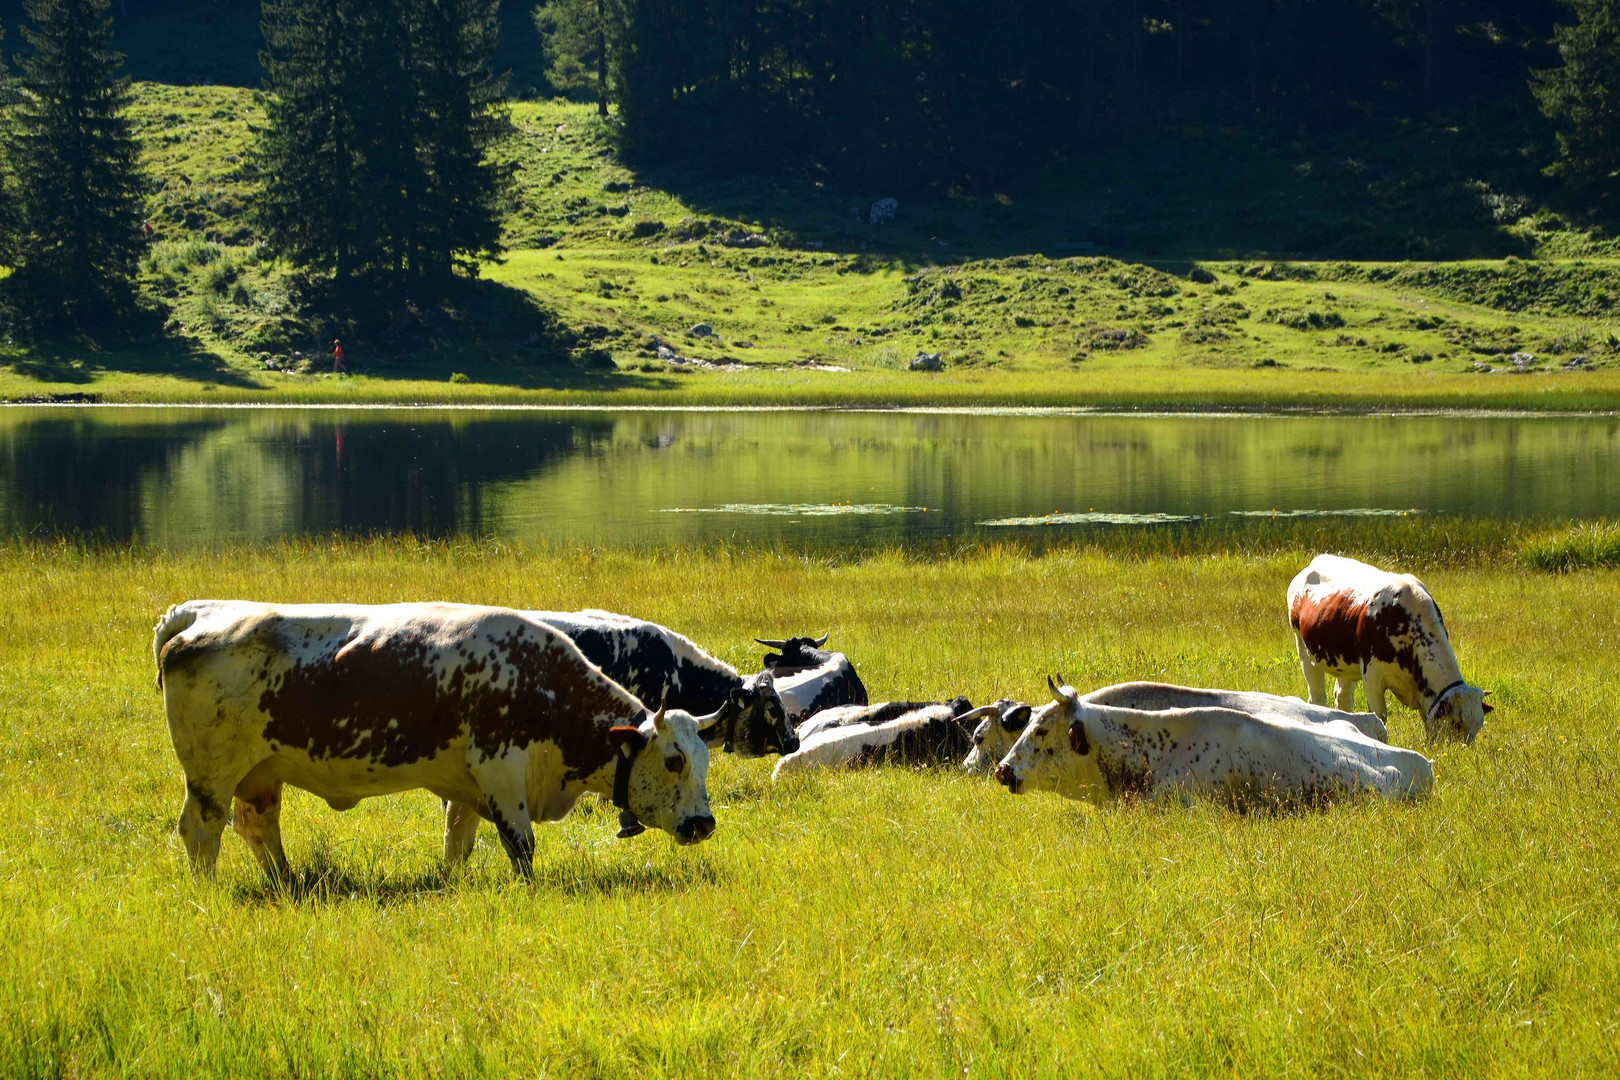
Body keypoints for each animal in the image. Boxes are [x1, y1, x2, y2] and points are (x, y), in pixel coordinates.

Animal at [153, 599, 722, 880]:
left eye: (705, 760)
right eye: (674, 761)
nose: (704, 823)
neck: (541, 680)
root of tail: (201, 617)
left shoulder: (468, 786)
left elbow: (458, 843)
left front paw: (453, 884)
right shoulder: (500, 772)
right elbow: (521, 846)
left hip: (260, 775)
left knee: (258, 827)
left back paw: (287, 881)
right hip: (210, 776)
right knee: (201, 832)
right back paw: (210, 889)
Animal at [1289, 553, 1490, 748]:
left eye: (1479, 725)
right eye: (1457, 723)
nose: (1463, 751)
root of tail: (1317, 560)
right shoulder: (1372, 674)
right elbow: (1379, 717)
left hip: (1344, 663)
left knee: (1343, 698)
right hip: (1303, 649)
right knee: (1317, 697)